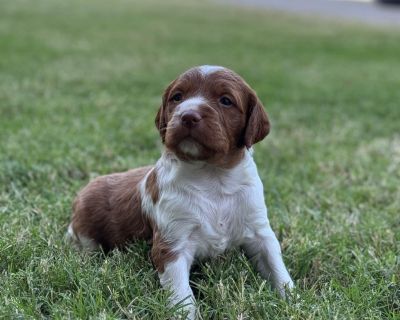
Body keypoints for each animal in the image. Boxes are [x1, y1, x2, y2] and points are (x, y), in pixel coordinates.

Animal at [68, 65, 294, 318]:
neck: (212, 177)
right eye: (177, 97)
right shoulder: (172, 244)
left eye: (226, 100)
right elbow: (181, 294)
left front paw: (293, 301)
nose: (188, 115)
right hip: (86, 232)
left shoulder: (259, 229)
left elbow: (277, 268)